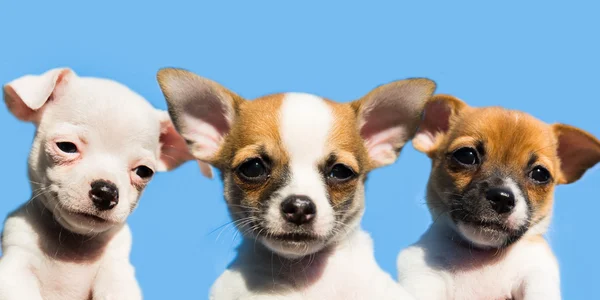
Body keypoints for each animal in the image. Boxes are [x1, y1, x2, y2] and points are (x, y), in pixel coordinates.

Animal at [0, 68, 193, 300]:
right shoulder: (15, 267)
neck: (72, 248)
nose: (106, 192)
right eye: (66, 147)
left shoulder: (117, 274)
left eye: (144, 171)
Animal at [398, 94, 600, 300]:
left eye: (540, 174)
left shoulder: (538, 270)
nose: (502, 198)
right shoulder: (421, 270)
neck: (482, 256)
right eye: (466, 155)